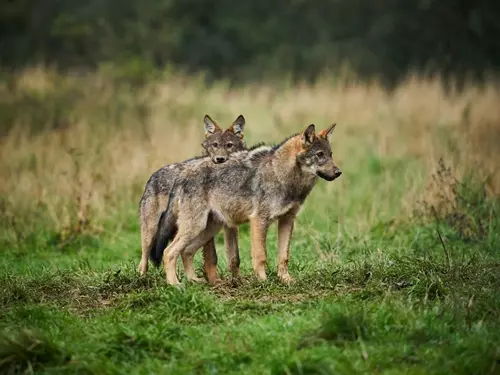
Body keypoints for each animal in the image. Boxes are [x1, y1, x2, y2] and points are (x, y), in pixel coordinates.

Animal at [138, 113, 247, 284]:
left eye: (230, 145)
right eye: (215, 145)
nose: (220, 159)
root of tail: (155, 173)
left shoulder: (230, 224)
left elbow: (234, 257)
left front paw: (237, 281)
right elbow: (212, 257)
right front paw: (215, 281)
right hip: (152, 231)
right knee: (144, 259)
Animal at [158, 123, 342, 284]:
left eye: (331, 154)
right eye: (319, 155)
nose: (338, 172)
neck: (282, 176)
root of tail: (182, 173)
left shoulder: (287, 220)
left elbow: (284, 256)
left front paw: (286, 280)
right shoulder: (259, 220)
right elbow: (261, 256)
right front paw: (263, 281)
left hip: (207, 229)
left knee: (186, 252)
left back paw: (194, 281)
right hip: (196, 227)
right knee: (168, 252)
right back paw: (175, 284)